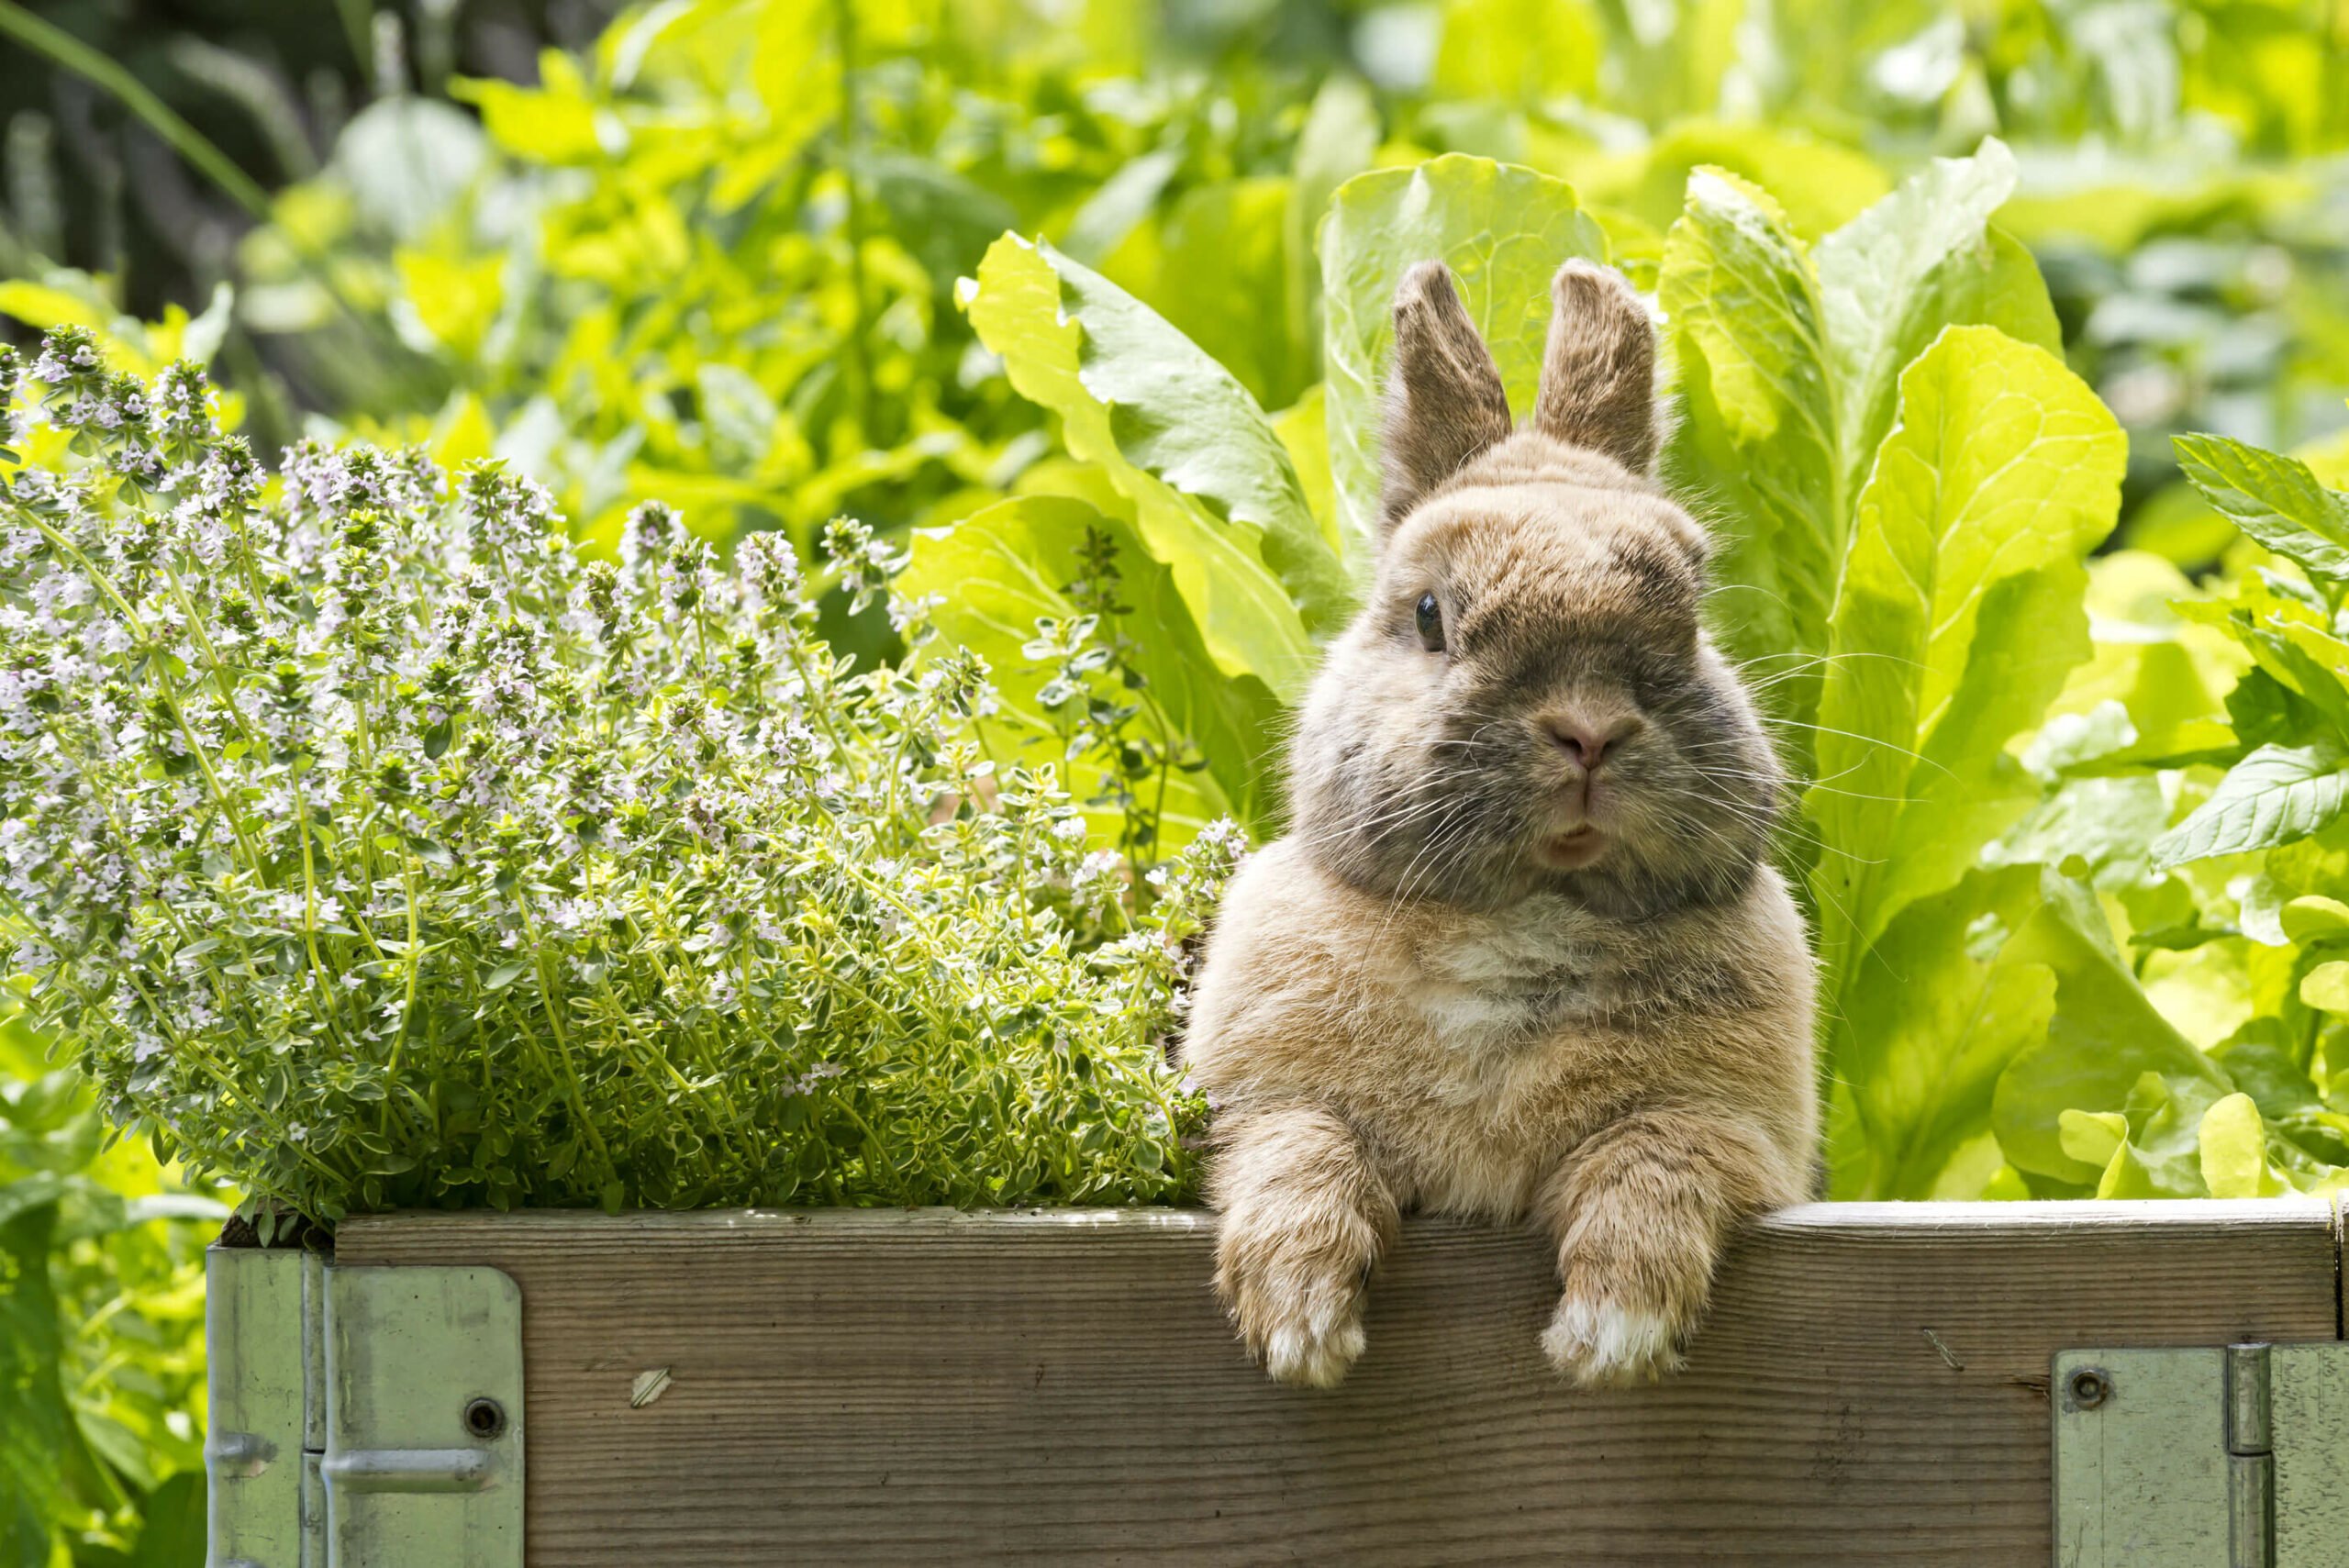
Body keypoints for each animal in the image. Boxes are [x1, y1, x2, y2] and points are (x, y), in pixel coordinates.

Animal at [1193, 262, 1813, 1389]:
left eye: (1693, 602)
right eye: (1430, 615)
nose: (1590, 730)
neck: (1523, 914)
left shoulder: (1727, 1125)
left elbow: (1656, 1167)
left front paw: (1609, 1334)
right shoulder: (1261, 1099)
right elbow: (1296, 1151)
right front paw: (1301, 1325)